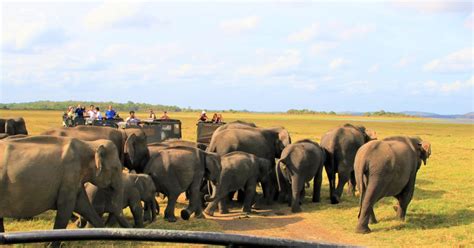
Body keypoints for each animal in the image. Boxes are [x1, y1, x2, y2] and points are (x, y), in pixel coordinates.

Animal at [0, 136, 130, 232]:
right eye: (116, 168)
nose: (78, 223)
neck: (88, 144)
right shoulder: (69, 176)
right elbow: (65, 208)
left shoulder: (75, 180)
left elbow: (84, 206)